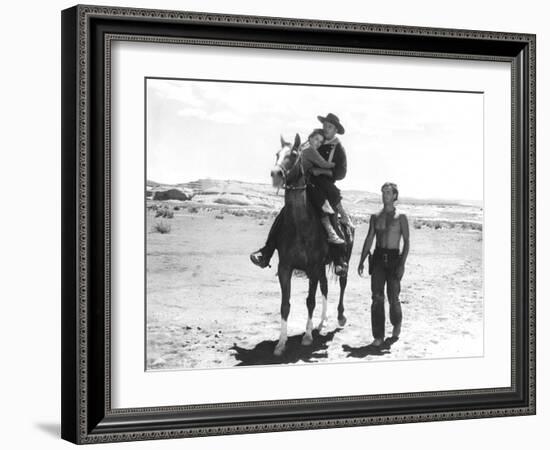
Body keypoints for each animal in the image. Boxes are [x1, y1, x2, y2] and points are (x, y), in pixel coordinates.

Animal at [270, 132, 356, 356]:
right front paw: (281, 343)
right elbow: (285, 305)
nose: (276, 174)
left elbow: (310, 301)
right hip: (323, 267)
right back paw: (321, 322)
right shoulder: (286, 268)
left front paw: (307, 337)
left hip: (343, 262)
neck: (300, 225)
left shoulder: (313, 267)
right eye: (277, 153)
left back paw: (340, 317)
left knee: (342, 284)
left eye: (293, 154)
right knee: (325, 288)